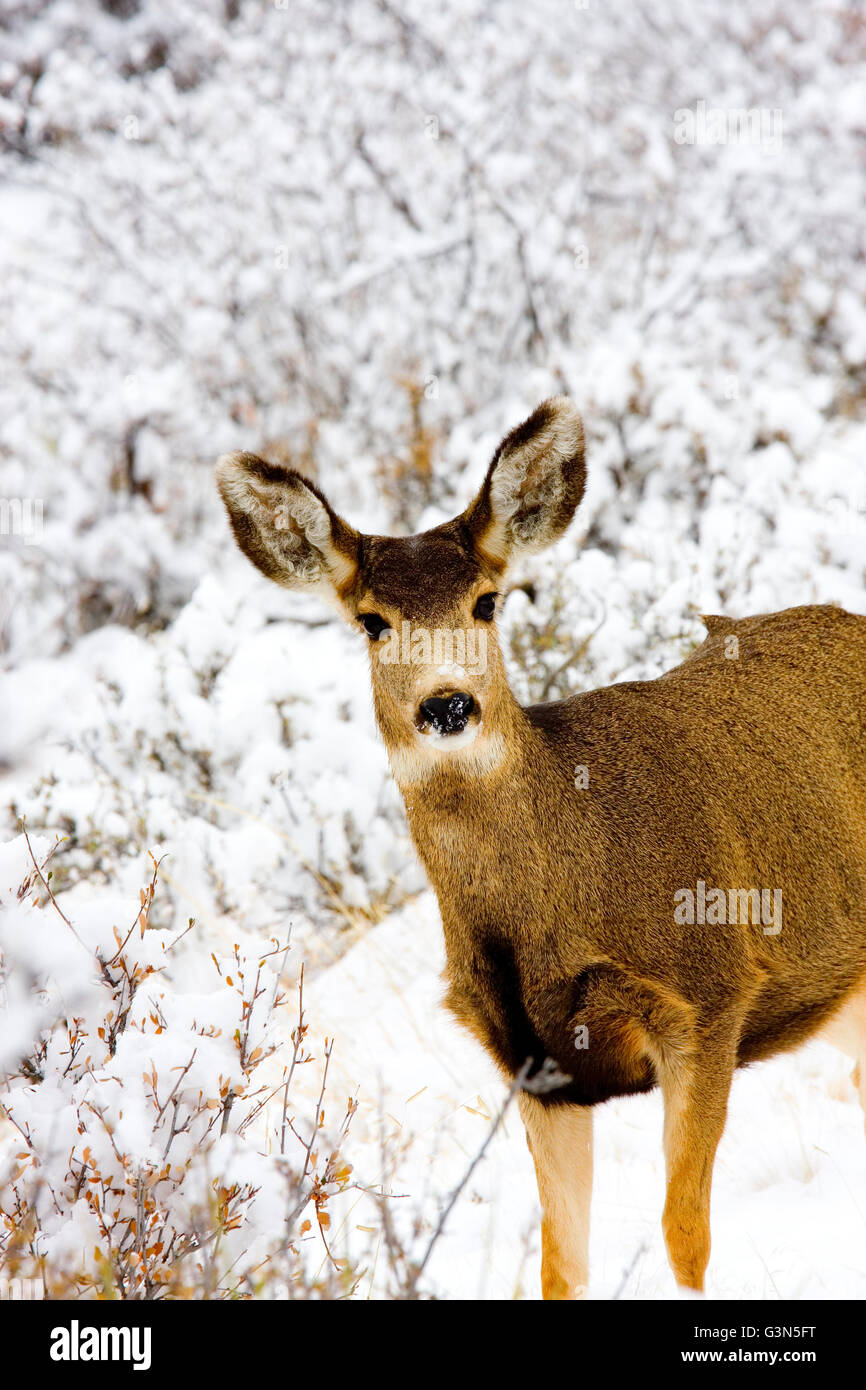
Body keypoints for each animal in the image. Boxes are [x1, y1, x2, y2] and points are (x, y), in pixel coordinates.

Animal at [216, 397, 866, 1295]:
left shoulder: (712, 993)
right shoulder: (532, 1063)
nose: (448, 705)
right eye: (372, 623)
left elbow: (684, 1235)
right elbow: (563, 1262)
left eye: (487, 602)